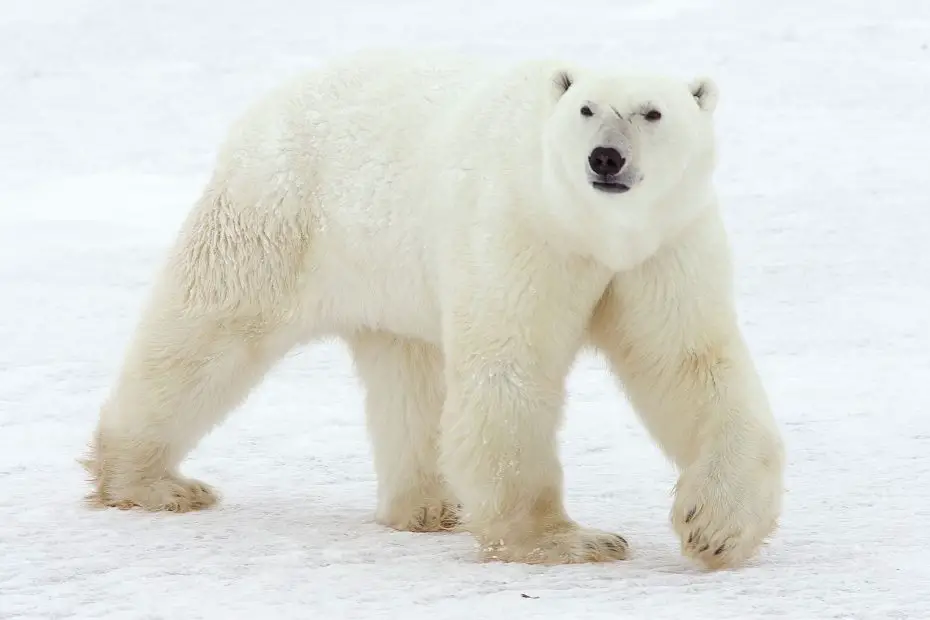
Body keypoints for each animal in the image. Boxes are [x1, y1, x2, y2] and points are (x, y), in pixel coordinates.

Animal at [85, 50, 784, 568]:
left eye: (652, 112)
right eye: (585, 108)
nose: (605, 157)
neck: (591, 229)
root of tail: (267, 104)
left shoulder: (663, 245)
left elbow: (688, 363)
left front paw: (715, 528)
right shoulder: (520, 231)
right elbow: (511, 368)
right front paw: (571, 540)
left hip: (389, 274)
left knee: (409, 375)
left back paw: (427, 505)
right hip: (281, 217)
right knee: (208, 331)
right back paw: (152, 482)